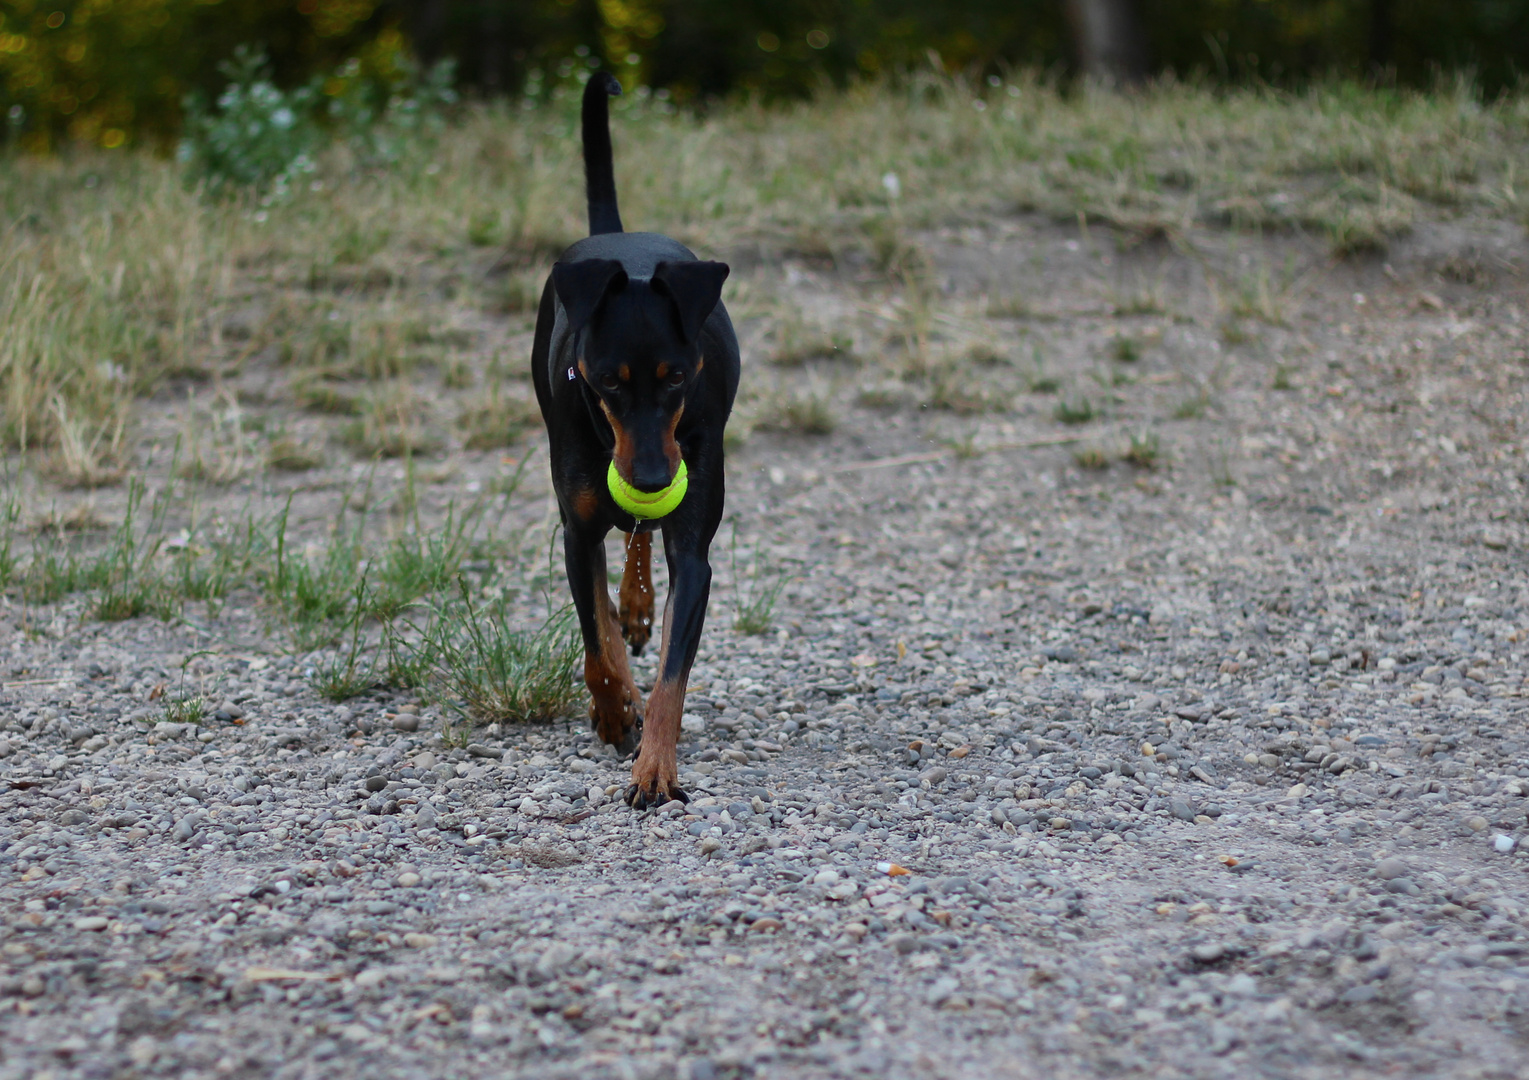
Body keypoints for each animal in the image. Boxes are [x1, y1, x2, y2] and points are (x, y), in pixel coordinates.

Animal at [529, 69, 736, 807]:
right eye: (606, 381)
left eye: (677, 376)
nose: (649, 478)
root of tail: (620, 233)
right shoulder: (576, 530)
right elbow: (596, 642)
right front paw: (615, 708)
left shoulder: (695, 544)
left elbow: (673, 675)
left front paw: (655, 767)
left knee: (642, 537)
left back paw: (641, 606)